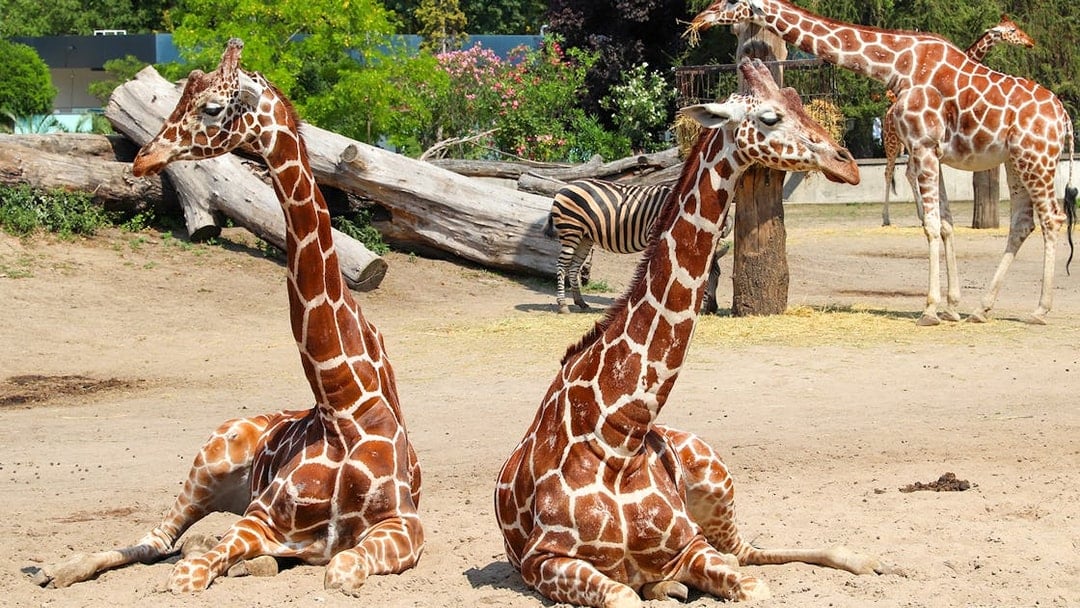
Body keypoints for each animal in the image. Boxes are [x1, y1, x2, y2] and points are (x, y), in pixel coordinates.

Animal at [33, 38, 423, 594]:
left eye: (212, 107)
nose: (144, 158)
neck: (341, 407)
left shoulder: (404, 524)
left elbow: (338, 569)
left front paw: (259, 564)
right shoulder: (262, 518)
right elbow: (189, 573)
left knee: (177, 544)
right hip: (209, 461)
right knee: (158, 539)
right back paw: (58, 568)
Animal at [545, 178, 732, 314]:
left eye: (719, 275)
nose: (713, 309)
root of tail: (566, 186)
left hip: (585, 236)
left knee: (574, 267)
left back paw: (581, 302)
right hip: (571, 230)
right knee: (561, 265)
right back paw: (563, 305)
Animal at [882, 14, 1036, 226]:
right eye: (1012, 30)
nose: (1030, 41)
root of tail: (888, 113)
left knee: (909, 173)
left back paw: (922, 216)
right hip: (891, 143)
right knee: (889, 172)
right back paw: (886, 218)